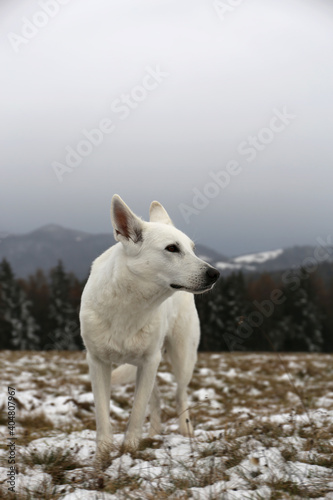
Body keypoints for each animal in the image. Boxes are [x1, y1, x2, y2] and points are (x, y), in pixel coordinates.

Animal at [80, 193, 219, 458]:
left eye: (192, 249)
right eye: (172, 248)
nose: (215, 273)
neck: (129, 306)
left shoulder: (150, 359)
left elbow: (136, 411)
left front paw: (130, 448)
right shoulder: (97, 362)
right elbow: (102, 413)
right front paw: (103, 454)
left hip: (182, 359)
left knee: (179, 396)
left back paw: (186, 432)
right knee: (156, 398)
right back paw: (154, 433)